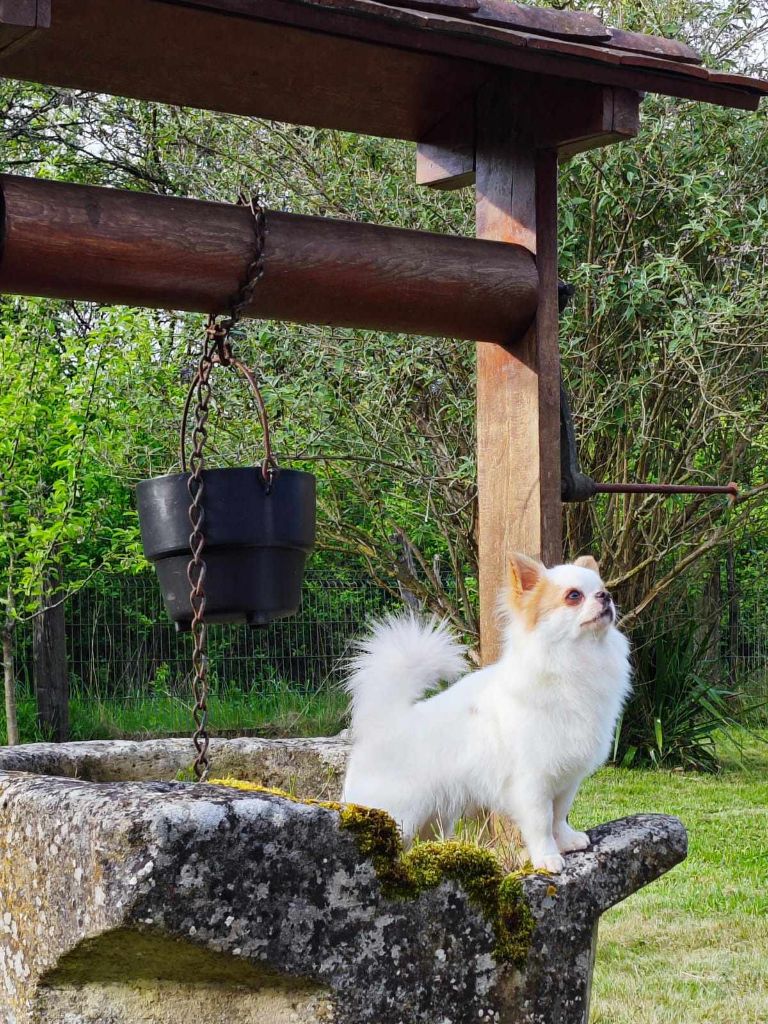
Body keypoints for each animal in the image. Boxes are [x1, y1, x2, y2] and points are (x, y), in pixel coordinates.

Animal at [342, 553, 631, 872]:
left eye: (602, 589)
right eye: (574, 596)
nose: (606, 597)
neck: (574, 663)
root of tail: (387, 721)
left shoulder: (567, 779)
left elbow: (558, 815)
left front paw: (566, 841)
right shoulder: (532, 782)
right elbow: (542, 822)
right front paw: (547, 857)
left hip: (433, 817)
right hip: (398, 815)